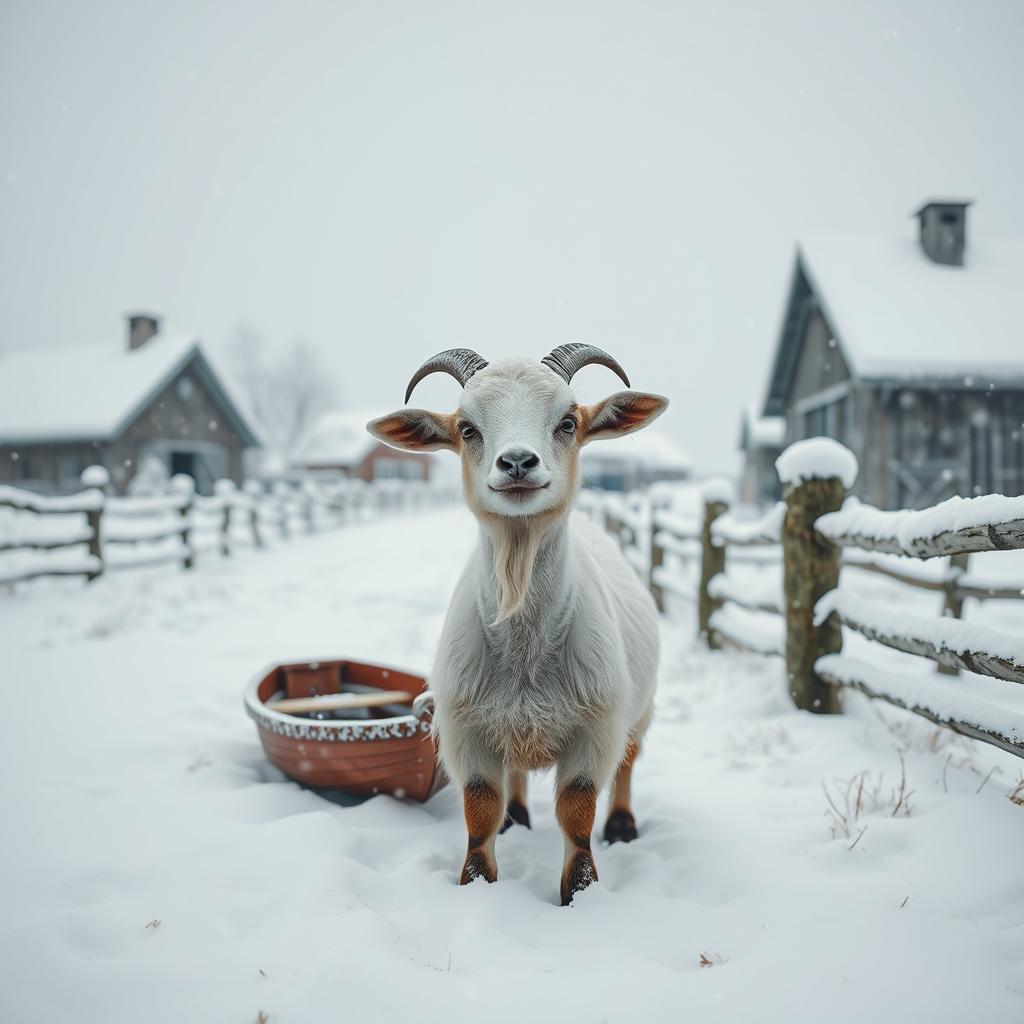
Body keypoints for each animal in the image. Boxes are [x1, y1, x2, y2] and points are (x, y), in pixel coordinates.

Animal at [372, 346, 667, 905]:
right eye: (467, 428)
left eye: (568, 422)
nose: (517, 463)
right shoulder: (467, 730)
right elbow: (480, 811)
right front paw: (477, 885)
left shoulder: (595, 729)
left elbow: (577, 815)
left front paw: (580, 894)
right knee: (516, 773)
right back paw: (518, 817)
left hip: (639, 710)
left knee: (630, 761)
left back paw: (622, 824)